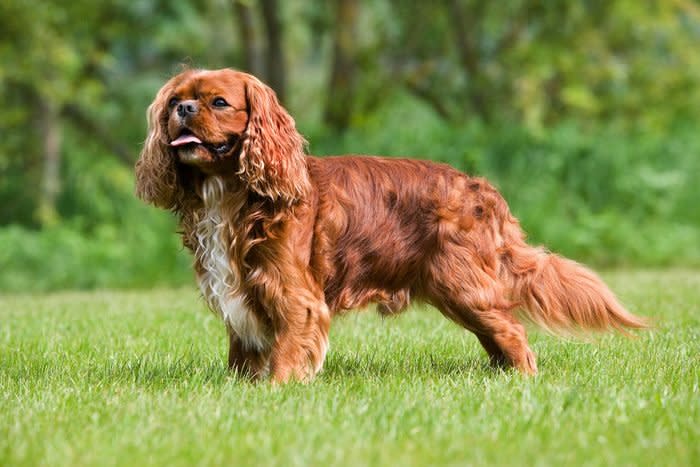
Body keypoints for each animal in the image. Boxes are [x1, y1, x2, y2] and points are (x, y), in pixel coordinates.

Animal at [134, 69, 648, 384]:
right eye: (176, 100)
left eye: (218, 102)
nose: (182, 110)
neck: (231, 194)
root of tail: (480, 189)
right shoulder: (241, 294)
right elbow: (242, 354)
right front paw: (238, 390)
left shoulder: (292, 293)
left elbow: (285, 350)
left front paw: (276, 390)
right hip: (457, 293)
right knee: (499, 334)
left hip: (463, 286)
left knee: (514, 333)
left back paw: (522, 380)